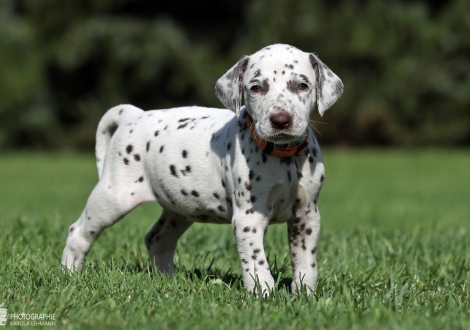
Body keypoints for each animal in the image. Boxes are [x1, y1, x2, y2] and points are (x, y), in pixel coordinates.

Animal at [61, 44, 342, 296]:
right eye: (256, 88)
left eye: (302, 85)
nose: (281, 120)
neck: (283, 157)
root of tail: (134, 115)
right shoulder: (248, 218)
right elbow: (255, 259)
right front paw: (264, 293)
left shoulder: (306, 216)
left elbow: (305, 262)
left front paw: (304, 296)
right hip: (113, 197)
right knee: (79, 233)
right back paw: (69, 275)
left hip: (179, 208)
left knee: (157, 239)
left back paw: (168, 279)